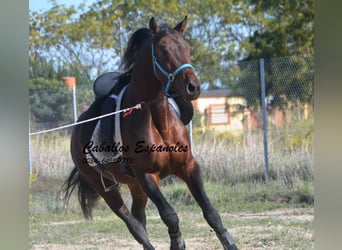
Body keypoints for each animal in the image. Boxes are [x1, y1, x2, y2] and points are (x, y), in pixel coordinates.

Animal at [62, 16, 238, 249]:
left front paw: (228, 242)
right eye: (163, 51)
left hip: (135, 186)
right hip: (105, 188)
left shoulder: (188, 167)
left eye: (187, 48)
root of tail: (77, 129)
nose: (193, 87)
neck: (159, 122)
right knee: (134, 224)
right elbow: (170, 215)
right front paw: (177, 243)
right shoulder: (147, 176)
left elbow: (210, 211)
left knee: (139, 217)